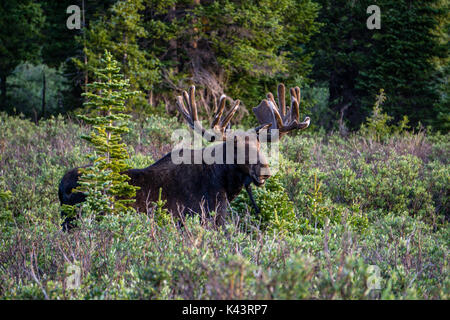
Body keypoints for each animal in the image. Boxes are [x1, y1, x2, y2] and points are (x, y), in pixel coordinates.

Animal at [59, 84, 310, 229]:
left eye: (261, 144)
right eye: (235, 146)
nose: (264, 171)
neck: (225, 185)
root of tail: (62, 187)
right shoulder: (206, 218)